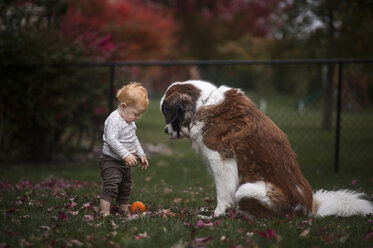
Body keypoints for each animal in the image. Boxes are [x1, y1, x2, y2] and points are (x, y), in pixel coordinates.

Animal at [160, 80, 372, 217]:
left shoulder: (221, 160)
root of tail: (309, 208)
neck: (202, 104)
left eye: (166, 113)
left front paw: (217, 215)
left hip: (248, 188)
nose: (165, 130)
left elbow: (223, 192)